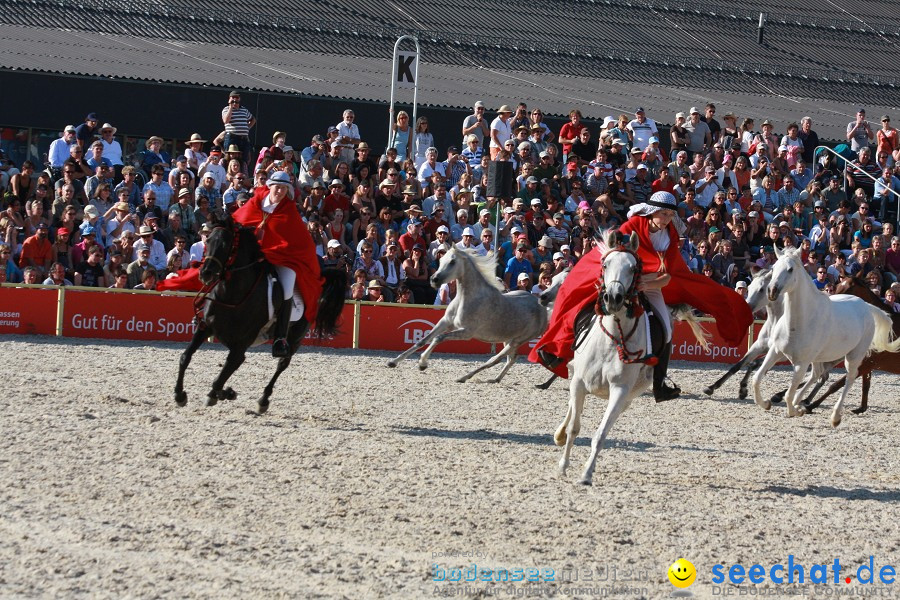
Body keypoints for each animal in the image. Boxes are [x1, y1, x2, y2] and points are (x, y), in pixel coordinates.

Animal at [386, 248, 548, 384]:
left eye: (452, 262)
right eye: (441, 259)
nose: (434, 280)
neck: (467, 298)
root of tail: (543, 309)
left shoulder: (467, 332)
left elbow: (438, 338)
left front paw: (422, 363)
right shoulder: (445, 322)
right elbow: (423, 340)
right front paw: (393, 362)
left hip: (517, 340)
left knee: (495, 359)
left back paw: (464, 377)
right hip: (507, 338)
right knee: (511, 359)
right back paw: (494, 379)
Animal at [804, 276, 900, 412]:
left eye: (848, 289)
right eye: (836, 285)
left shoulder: (864, 364)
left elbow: (835, 385)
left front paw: (811, 405)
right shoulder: (866, 363)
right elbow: (865, 385)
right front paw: (861, 408)